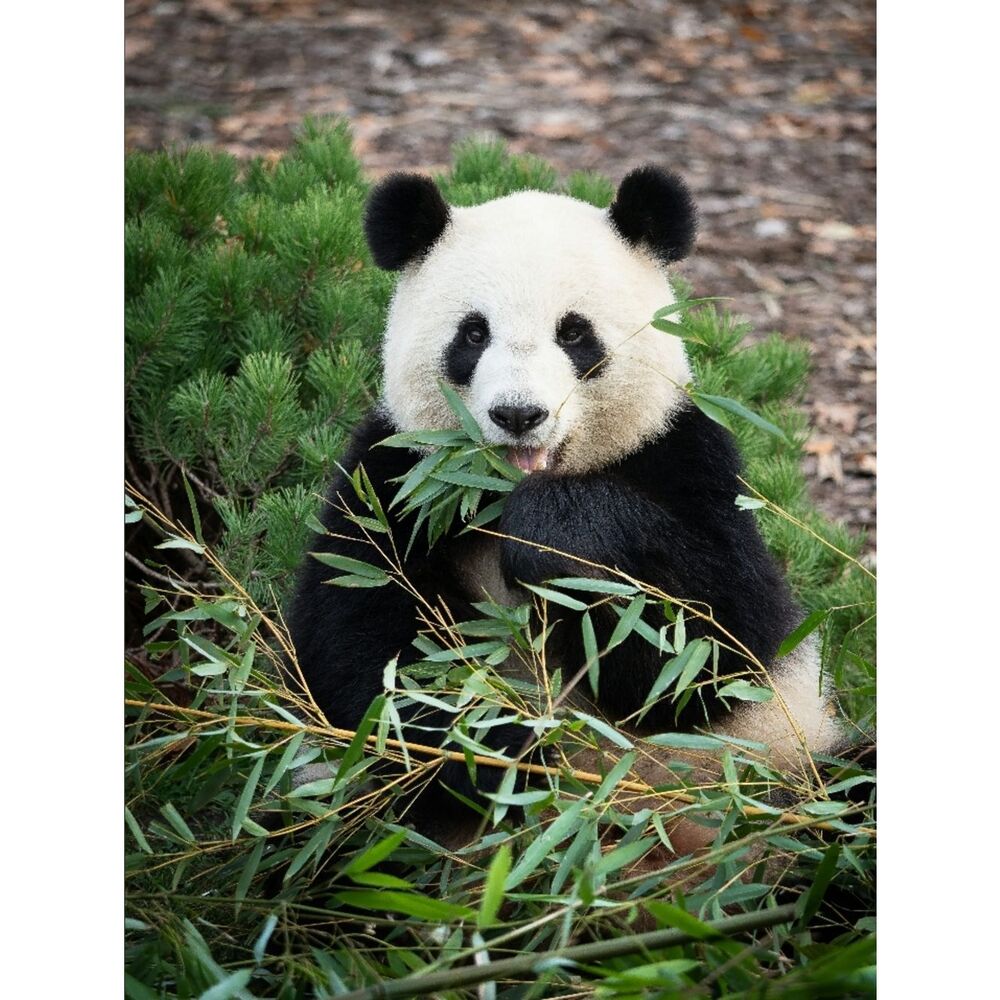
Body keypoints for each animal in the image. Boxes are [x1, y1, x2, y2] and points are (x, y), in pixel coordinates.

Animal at [288, 166, 846, 850]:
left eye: (574, 332)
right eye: (474, 333)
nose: (519, 414)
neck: (497, 493)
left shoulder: (685, 457)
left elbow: (712, 645)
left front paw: (549, 536)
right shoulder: (396, 479)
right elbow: (361, 644)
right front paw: (495, 751)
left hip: (789, 768)